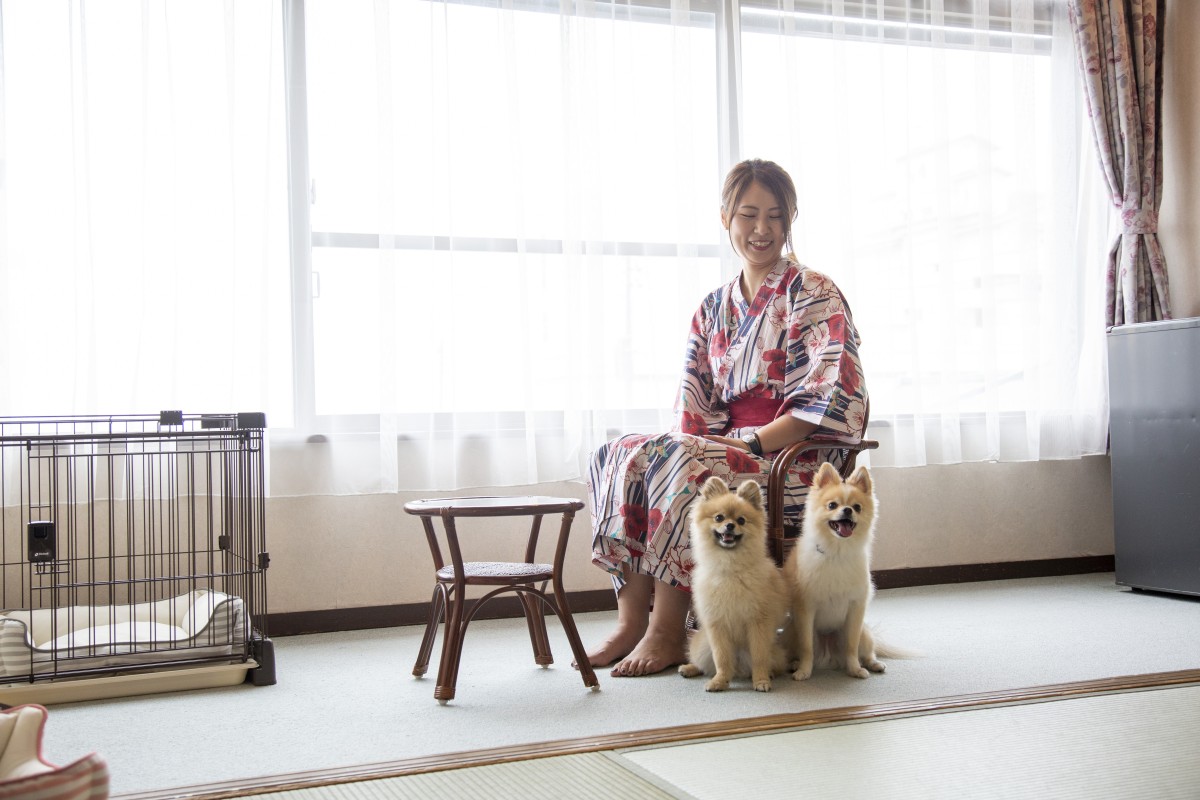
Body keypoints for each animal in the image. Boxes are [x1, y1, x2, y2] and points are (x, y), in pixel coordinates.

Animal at [681, 474, 792, 695]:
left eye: (741, 520)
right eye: (719, 518)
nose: (730, 526)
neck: (730, 569)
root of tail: (740, 667)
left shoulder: (758, 623)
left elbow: (759, 656)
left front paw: (761, 680)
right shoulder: (717, 626)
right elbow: (721, 658)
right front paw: (720, 681)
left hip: (775, 653)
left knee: (771, 663)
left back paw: (768, 675)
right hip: (701, 644)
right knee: (705, 664)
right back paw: (690, 669)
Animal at [787, 460, 892, 681]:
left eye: (857, 507)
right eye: (832, 505)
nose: (847, 510)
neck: (836, 551)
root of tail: (830, 657)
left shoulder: (855, 610)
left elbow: (851, 646)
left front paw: (854, 669)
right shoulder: (805, 610)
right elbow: (806, 647)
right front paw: (804, 671)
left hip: (864, 633)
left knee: (866, 651)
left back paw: (873, 664)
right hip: (791, 633)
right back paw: (794, 664)